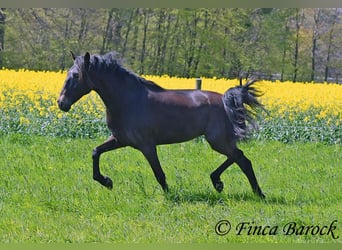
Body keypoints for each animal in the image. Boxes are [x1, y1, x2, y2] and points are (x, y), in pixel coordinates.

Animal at [57, 51, 266, 198]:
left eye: (76, 75)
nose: (61, 103)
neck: (127, 99)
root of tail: (225, 100)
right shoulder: (120, 139)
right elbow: (96, 152)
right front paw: (107, 182)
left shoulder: (147, 145)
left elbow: (159, 173)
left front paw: (170, 196)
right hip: (219, 140)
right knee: (238, 156)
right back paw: (218, 182)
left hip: (218, 140)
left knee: (242, 159)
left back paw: (257, 193)